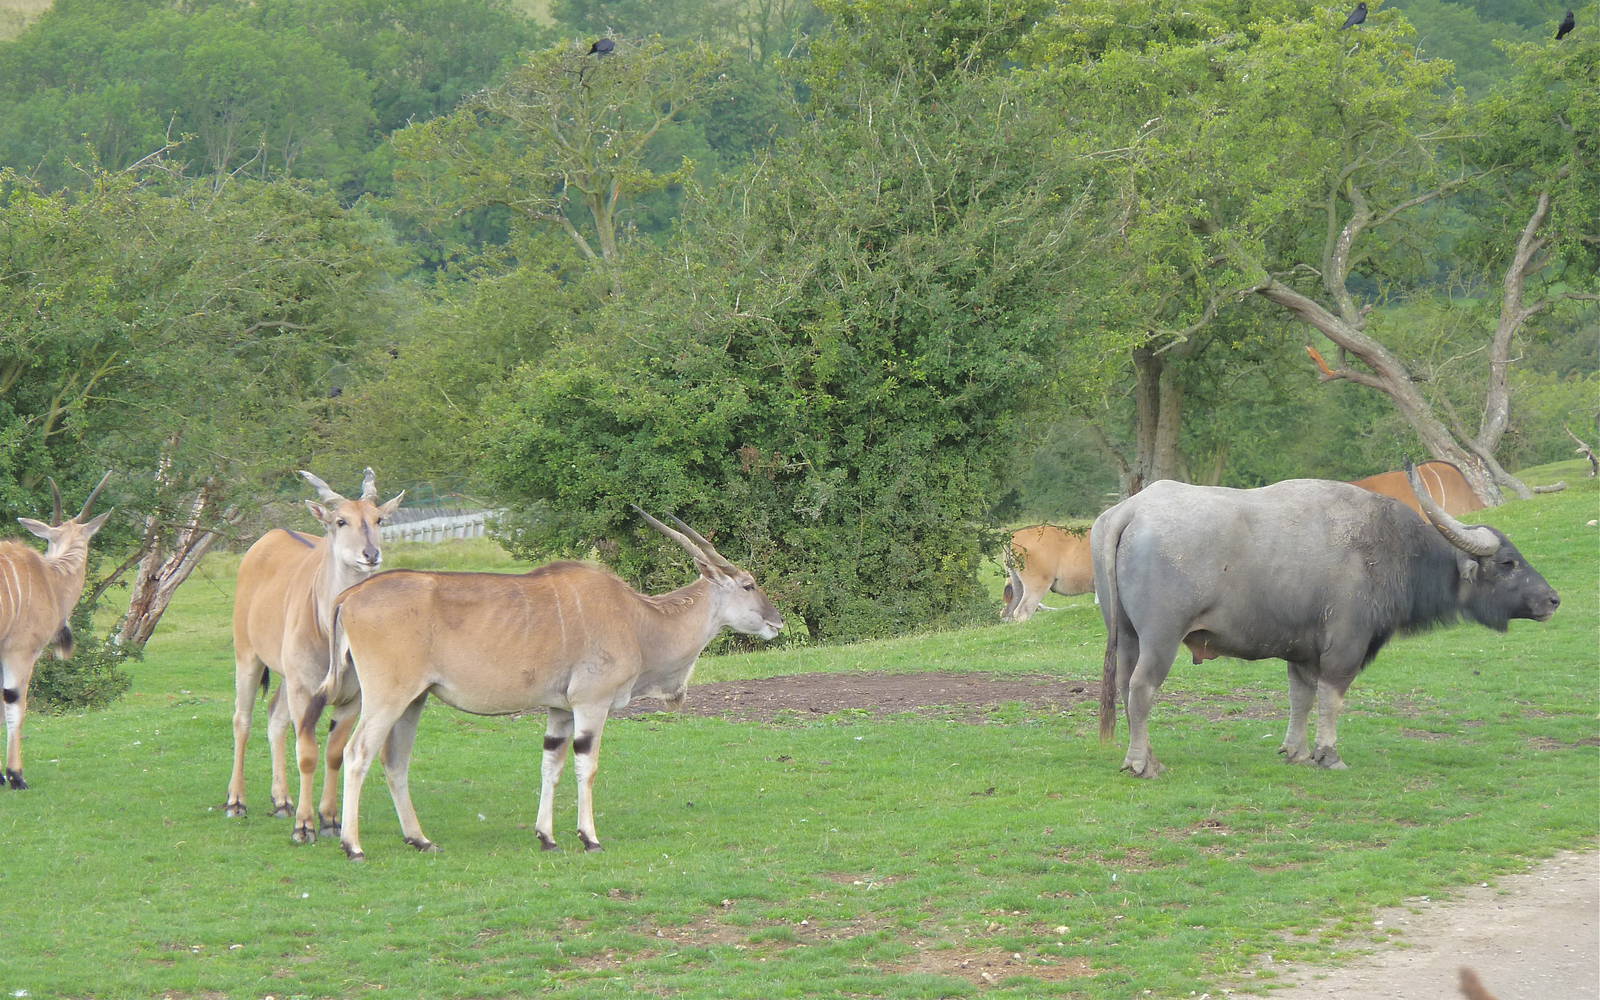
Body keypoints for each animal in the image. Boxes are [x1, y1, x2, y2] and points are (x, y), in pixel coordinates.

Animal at [1093, 465, 1559, 777]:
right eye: (1508, 562)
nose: (1552, 599)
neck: (1392, 549)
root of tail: (1132, 511)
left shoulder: (1300, 652)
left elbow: (1300, 696)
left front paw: (1296, 750)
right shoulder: (1346, 646)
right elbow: (1332, 698)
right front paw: (1328, 754)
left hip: (1128, 634)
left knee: (1126, 685)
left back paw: (1148, 756)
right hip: (1162, 637)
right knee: (1142, 688)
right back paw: (1141, 763)